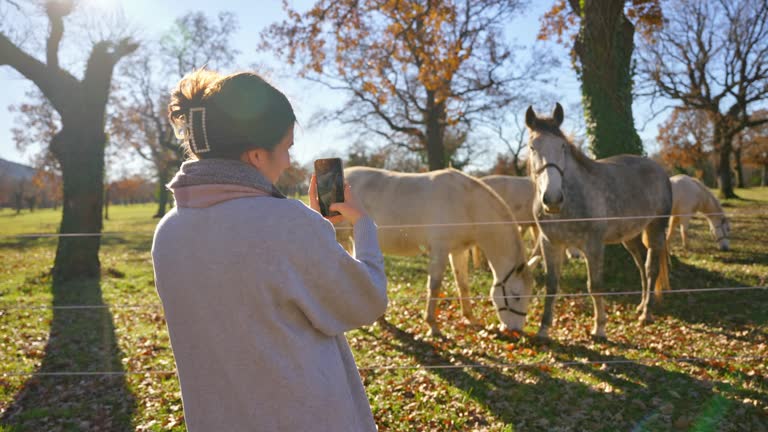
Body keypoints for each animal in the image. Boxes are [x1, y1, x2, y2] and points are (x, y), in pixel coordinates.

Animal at [342, 167, 540, 336]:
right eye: (516, 296)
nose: (516, 330)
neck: (468, 204)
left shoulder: (458, 252)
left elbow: (463, 285)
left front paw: (470, 318)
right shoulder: (440, 250)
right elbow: (435, 287)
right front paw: (433, 326)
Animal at [524, 103, 668, 340]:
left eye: (563, 146)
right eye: (532, 147)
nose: (553, 199)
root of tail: (660, 170)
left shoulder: (593, 245)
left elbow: (595, 285)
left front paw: (599, 328)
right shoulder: (550, 243)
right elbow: (551, 285)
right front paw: (543, 329)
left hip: (656, 229)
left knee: (651, 269)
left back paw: (646, 315)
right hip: (630, 237)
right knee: (640, 265)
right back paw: (640, 306)